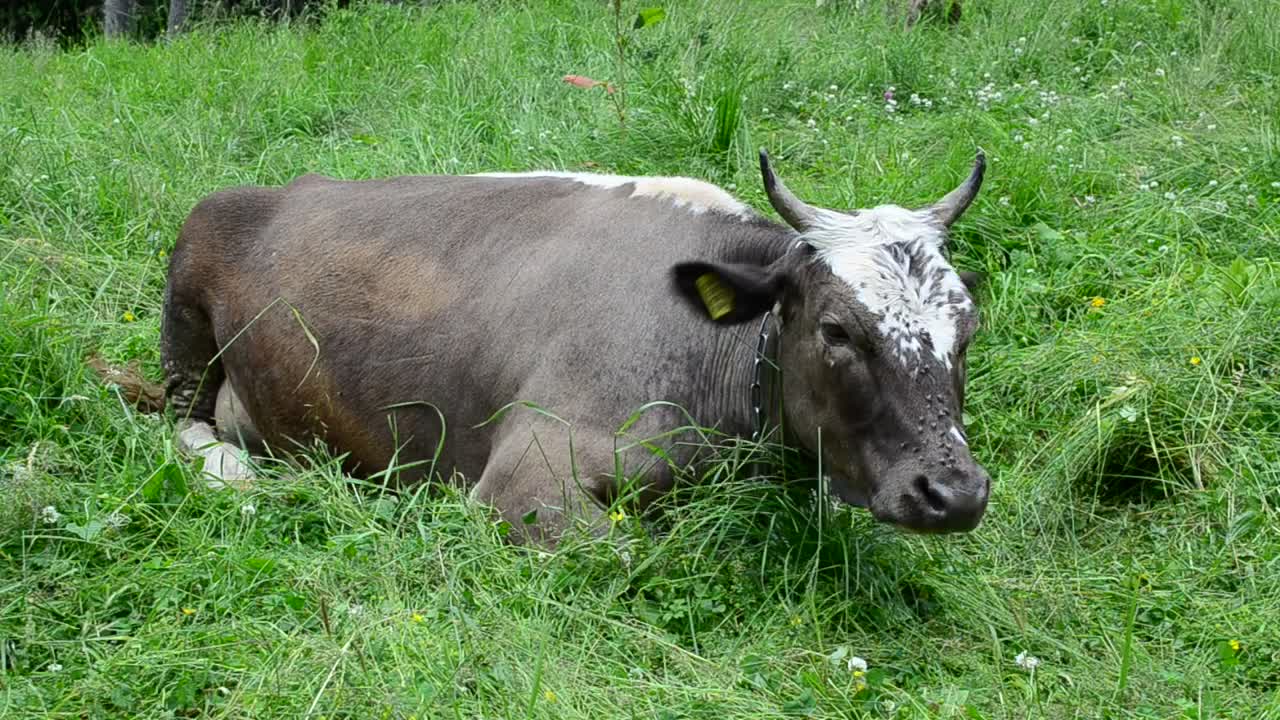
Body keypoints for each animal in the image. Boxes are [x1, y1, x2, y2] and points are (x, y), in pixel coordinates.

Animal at [161, 148, 991, 545]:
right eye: (837, 330)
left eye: (968, 326)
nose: (955, 493)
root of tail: (293, 187)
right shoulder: (525, 476)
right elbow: (633, 552)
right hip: (187, 302)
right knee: (179, 422)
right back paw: (234, 471)